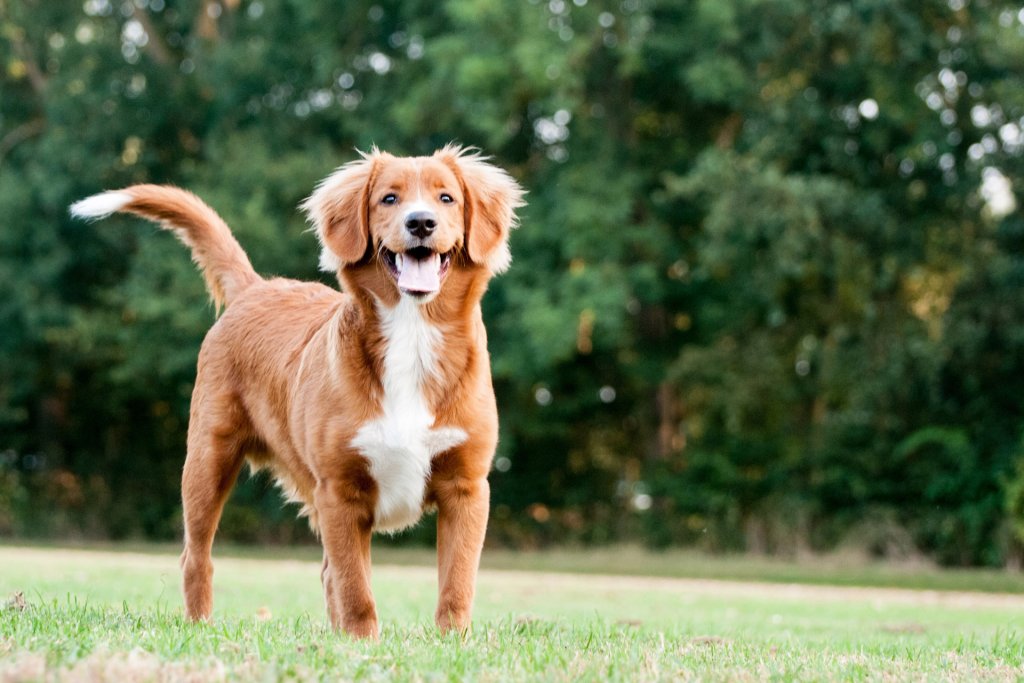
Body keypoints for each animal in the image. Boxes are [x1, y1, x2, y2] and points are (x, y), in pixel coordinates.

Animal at [70, 145, 528, 643]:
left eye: (447, 198)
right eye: (389, 199)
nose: (421, 222)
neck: (412, 332)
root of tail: (256, 287)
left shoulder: (466, 487)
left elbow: (456, 583)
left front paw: (452, 643)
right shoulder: (339, 490)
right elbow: (356, 586)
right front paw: (361, 642)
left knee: (326, 572)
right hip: (207, 460)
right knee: (197, 557)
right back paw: (200, 624)